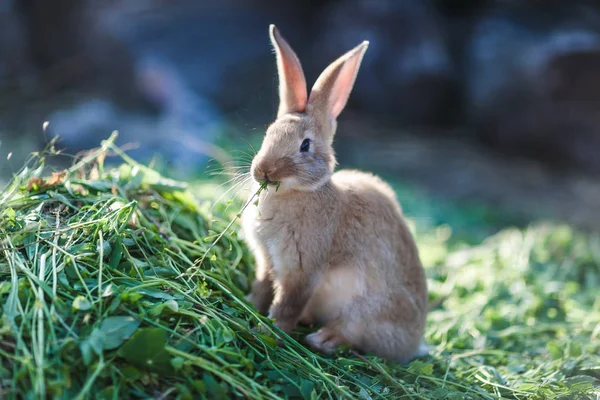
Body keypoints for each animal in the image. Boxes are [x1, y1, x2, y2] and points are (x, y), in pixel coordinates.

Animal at [241, 24, 428, 362]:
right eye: (268, 134)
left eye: (305, 145)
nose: (264, 172)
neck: (299, 192)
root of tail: (414, 341)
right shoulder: (267, 261)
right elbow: (262, 287)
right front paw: (248, 303)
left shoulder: (303, 269)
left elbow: (287, 304)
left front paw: (267, 331)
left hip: (367, 312)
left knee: (354, 335)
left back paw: (322, 340)